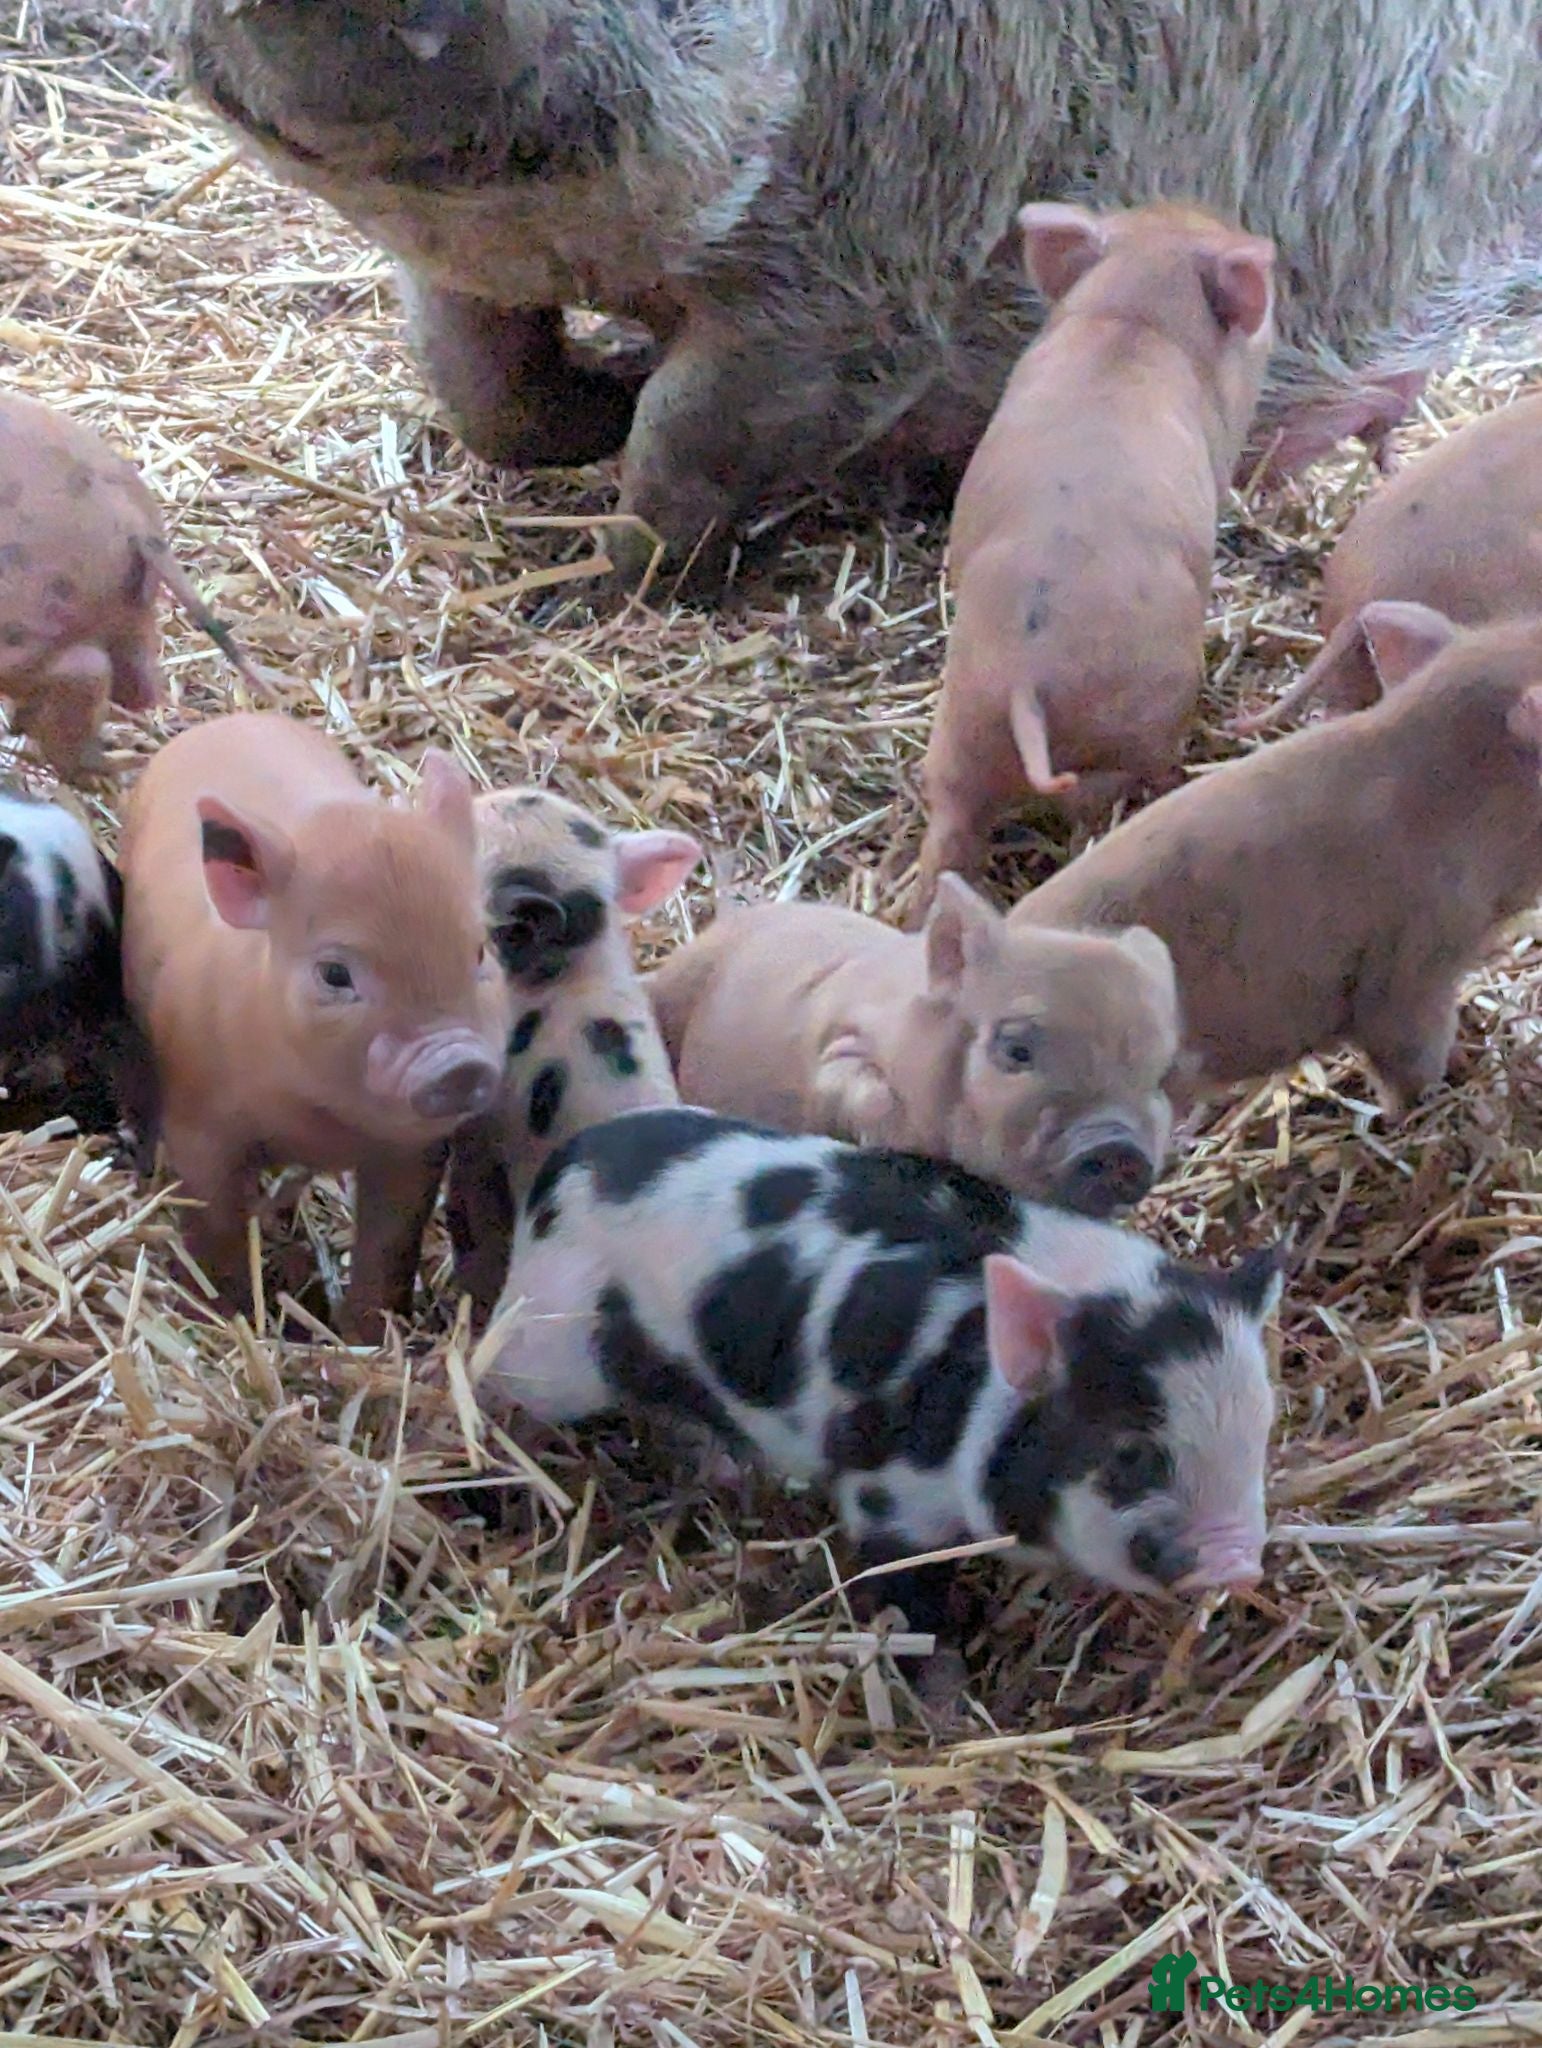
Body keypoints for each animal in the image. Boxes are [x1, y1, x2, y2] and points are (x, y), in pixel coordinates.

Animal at [0, 392, 270, 779]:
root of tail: (133, 521)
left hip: (33, 626)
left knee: (82, 681)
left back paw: (113, 770)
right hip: (127, 610)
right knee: (127, 683)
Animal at [119, 712, 507, 1334]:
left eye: (478, 952)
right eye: (335, 973)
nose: (459, 1061)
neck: (318, 1121)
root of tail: (233, 719)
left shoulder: (412, 1149)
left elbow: (390, 1242)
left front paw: (366, 1335)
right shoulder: (198, 1122)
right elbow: (215, 1228)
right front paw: (235, 1316)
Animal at [155, 0, 1540, 586]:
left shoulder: (881, 248)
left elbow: (698, 436)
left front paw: (626, 564)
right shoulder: (448, 261)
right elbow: (485, 393)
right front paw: (600, 392)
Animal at [472, 1106, 1283, 1639]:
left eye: (1262, 1432)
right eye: (1133, 1453)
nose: (1240, 1563)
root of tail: (563, 1168)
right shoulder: (891, 1492)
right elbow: (903, 1589)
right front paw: (944, 1696)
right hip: (551, 1346)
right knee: (500, 1385)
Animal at [913, 201, 1275, 906]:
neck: (1132, 320)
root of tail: (1026, 680)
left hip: (959, 731)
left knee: (948, 832)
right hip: (1129, 729)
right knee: (1098, 810)